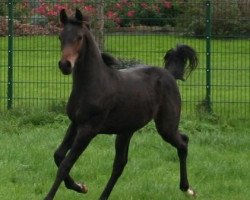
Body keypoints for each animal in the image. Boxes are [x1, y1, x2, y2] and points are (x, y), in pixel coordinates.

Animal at [44, 9, 197, 200]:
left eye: (79, 37)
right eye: (60, 37)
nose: (65, 65)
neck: (94, 83)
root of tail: (169, 74)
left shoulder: (88, 129)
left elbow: (65, 164)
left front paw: (60, 193)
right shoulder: (75, 123)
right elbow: (58, 155)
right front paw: (80, 186)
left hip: (165, 126)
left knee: (183, 142)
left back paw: (187, 188)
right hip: (126, 131)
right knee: (120, 164)